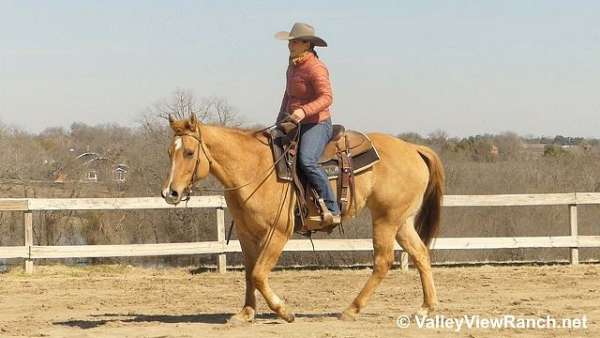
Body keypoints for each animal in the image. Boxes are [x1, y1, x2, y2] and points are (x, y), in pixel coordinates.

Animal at [162, 115, 442, 324]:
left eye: (189, 152)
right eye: (169, 152)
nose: (169, 193)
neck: (254, 167)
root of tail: (413, 148)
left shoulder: (277, 233)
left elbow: (259, 274)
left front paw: (284, 311)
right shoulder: (245, 233)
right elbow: (250, 273)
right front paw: (246, 313)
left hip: (385, 219)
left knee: (383, 261)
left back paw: (351, 309)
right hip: (401, 222)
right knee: (420, 254)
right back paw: (425, 308)